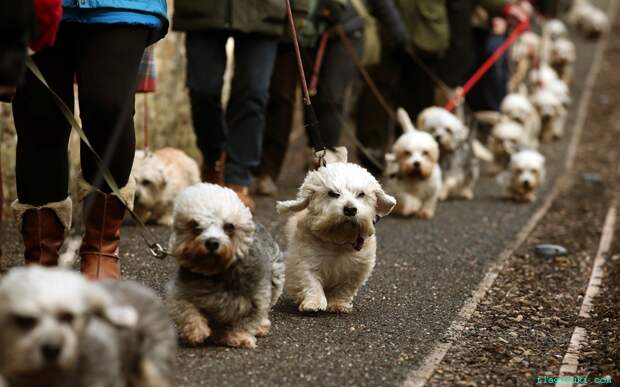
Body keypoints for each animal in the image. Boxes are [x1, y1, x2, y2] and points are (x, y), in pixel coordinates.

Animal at [167, 183, 284, 350]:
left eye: (229, 226)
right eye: (195, 225)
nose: (212, 242)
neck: (217, 272)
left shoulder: (256, 298)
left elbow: (247, 322)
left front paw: (239, 338)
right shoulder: (181, 293)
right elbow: (187, 311)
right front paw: (196, 332)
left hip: (275, 277)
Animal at [278, 157, 394, 312]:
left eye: (361, 194)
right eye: (333, 193)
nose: (350, 209)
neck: (338, 242)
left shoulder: (358, 269)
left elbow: (345, 289)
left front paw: (338, 304)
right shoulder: (305, 261)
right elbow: (310, 282)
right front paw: (314, 303)